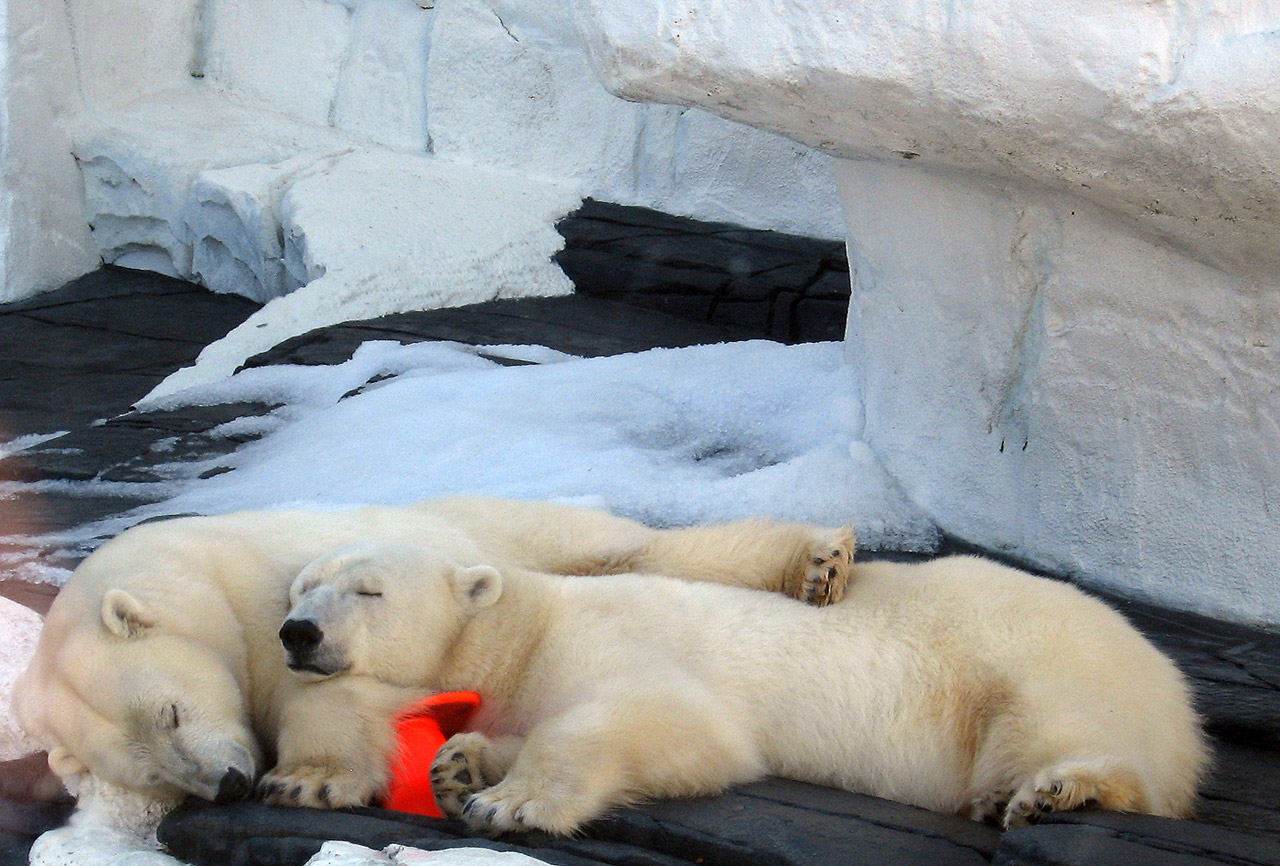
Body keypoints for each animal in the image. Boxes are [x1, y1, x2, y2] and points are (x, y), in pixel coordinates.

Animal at [12, 496, 849, 808]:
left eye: (173, 710)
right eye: (153, 774)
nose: (225, 784)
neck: (202, 572)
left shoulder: (273, 602)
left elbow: (332, 691)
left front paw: (310, 779)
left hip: (522, 530)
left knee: (646, 551)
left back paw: (818, 564)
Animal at [280, 544, 1208, 834]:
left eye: (367, 590)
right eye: (301, 587)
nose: (296, 633)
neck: (528, 627)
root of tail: (1177, 692)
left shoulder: (609, 643)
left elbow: (668, 722)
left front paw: (510, 802)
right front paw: (461, 765)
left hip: (1032, 659)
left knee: (1065, 729)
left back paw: (1056, 791)